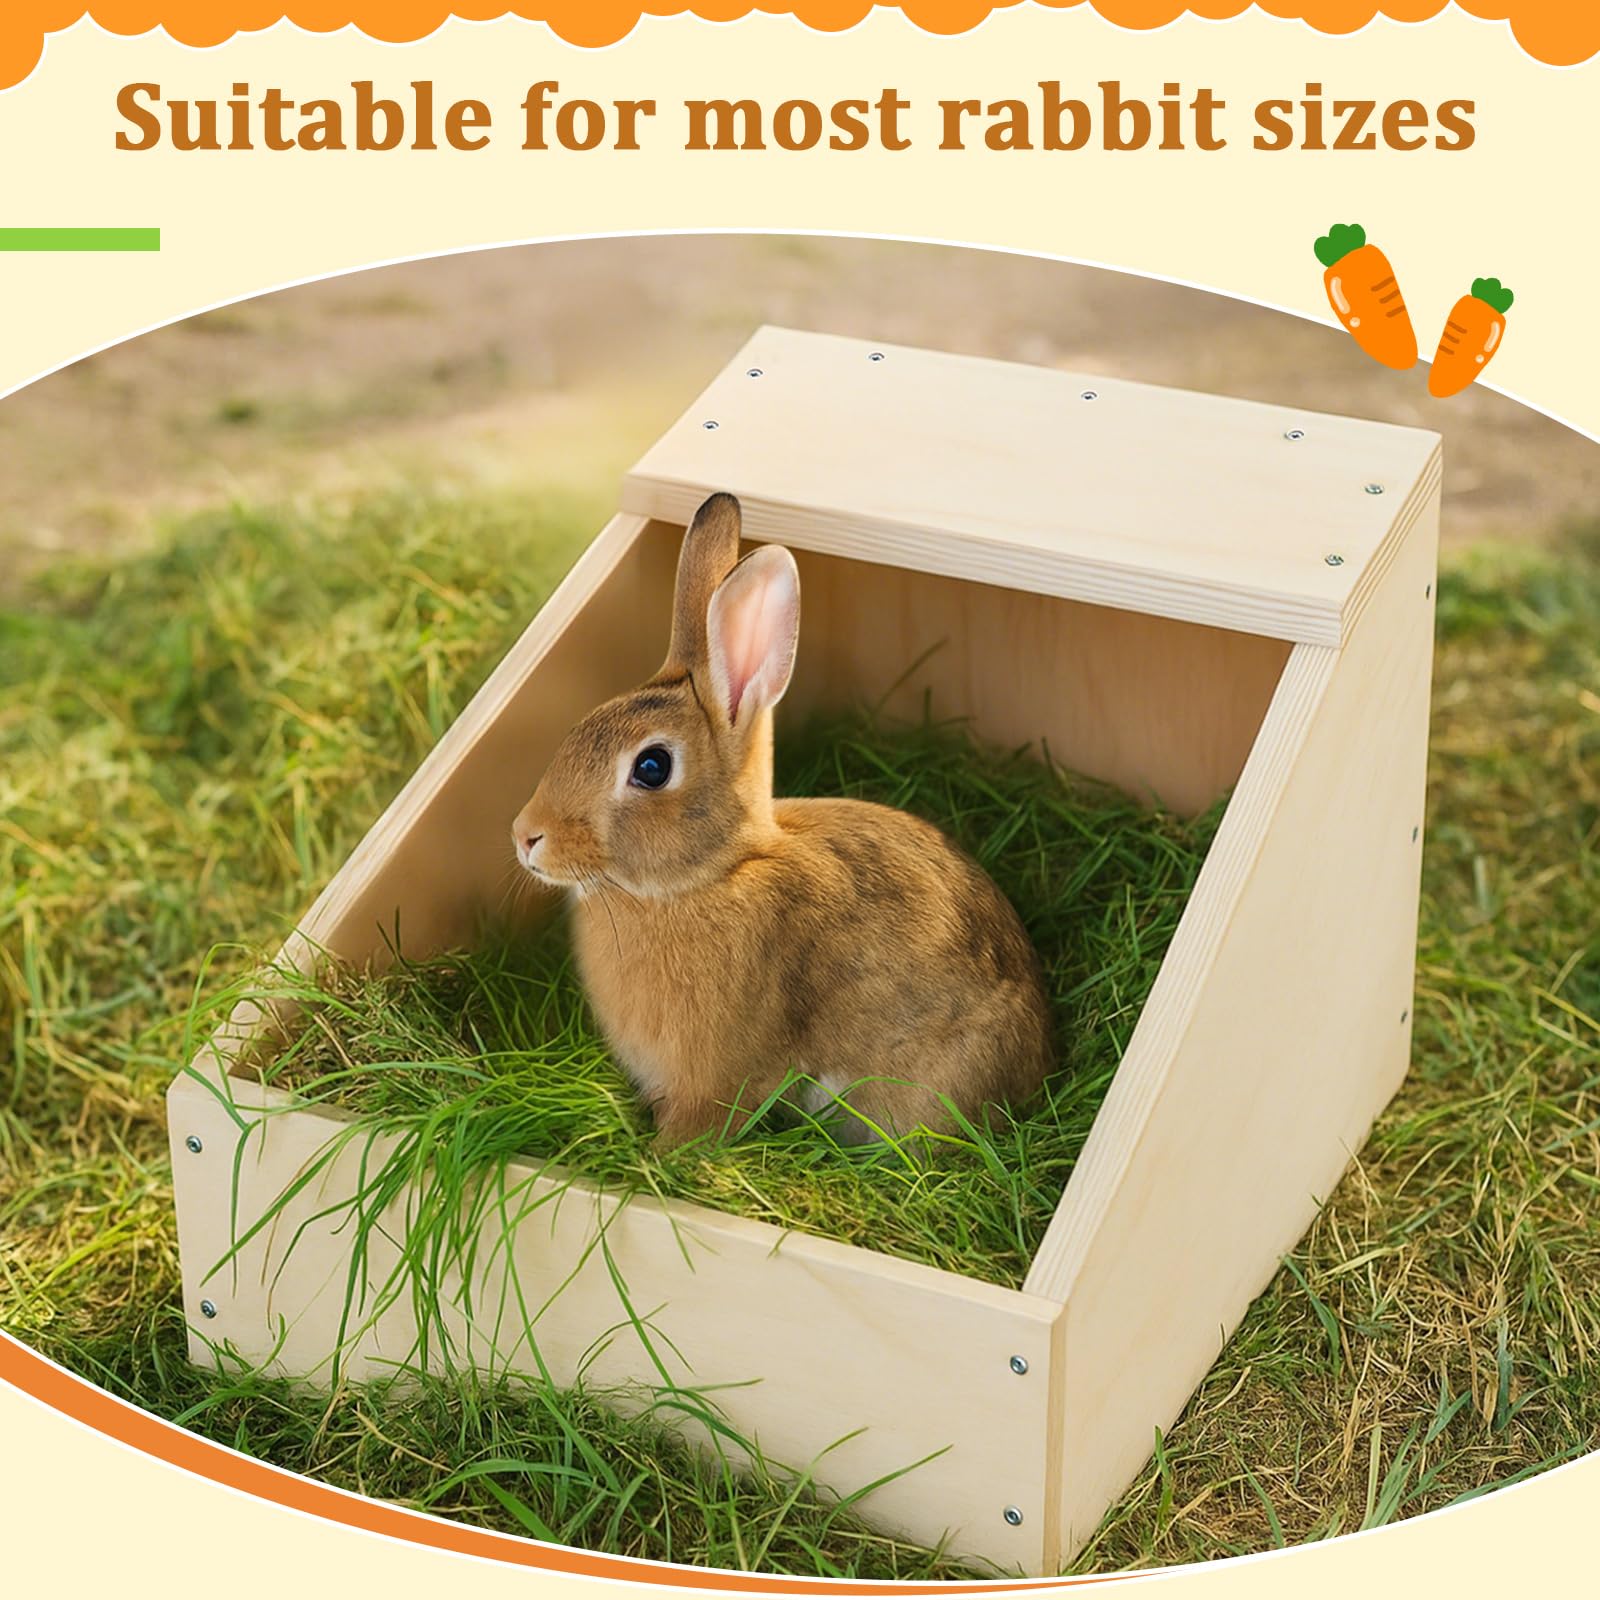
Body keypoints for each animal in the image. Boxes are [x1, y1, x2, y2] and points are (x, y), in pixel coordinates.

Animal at [511, 491, 1054, 1149]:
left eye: (651, 767)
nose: (526, 836)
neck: (708, 877)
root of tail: (1042, 1061)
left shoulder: (716, 1079)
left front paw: (660, 1156)